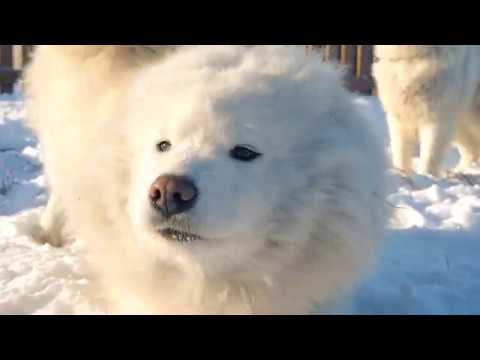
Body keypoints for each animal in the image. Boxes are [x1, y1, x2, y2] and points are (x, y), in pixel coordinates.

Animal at [374, 45, 480, 177]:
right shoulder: (399, 119)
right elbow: (400, 154)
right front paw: (402, 173)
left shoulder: (436, 121)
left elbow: (429, 157)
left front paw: (427, 176)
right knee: (471, 150)